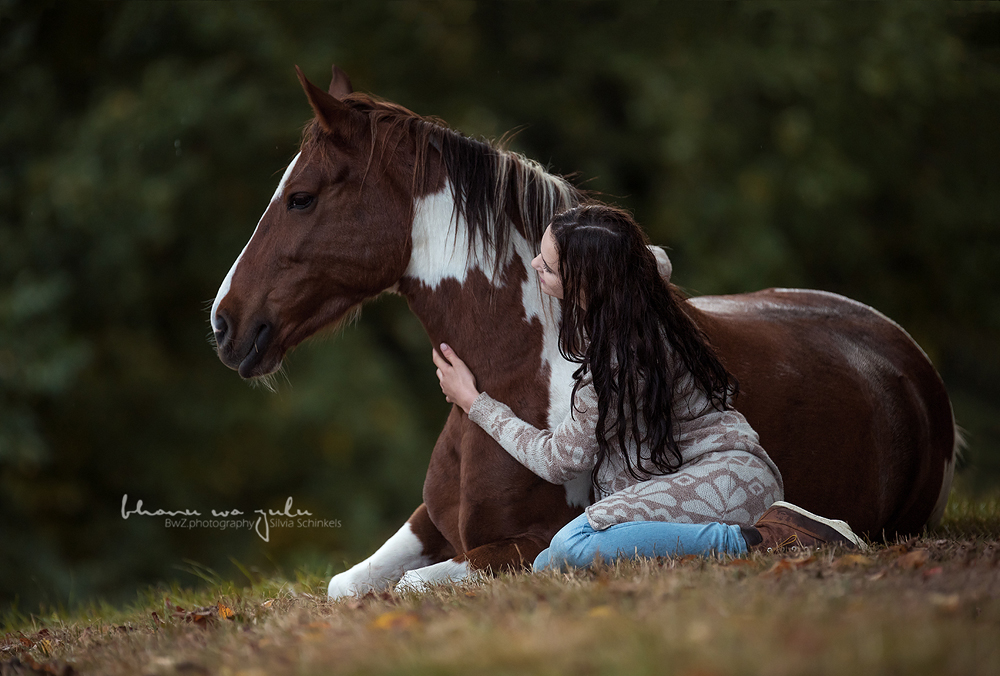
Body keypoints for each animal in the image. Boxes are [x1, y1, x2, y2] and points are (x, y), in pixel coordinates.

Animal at [207, 66, 956, 600]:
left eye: (301, 197)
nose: (224, 323)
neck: (520, 368)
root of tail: (904, 354)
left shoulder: (520, 545)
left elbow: (415, 584)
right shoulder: (428, 522)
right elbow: (346, 584)